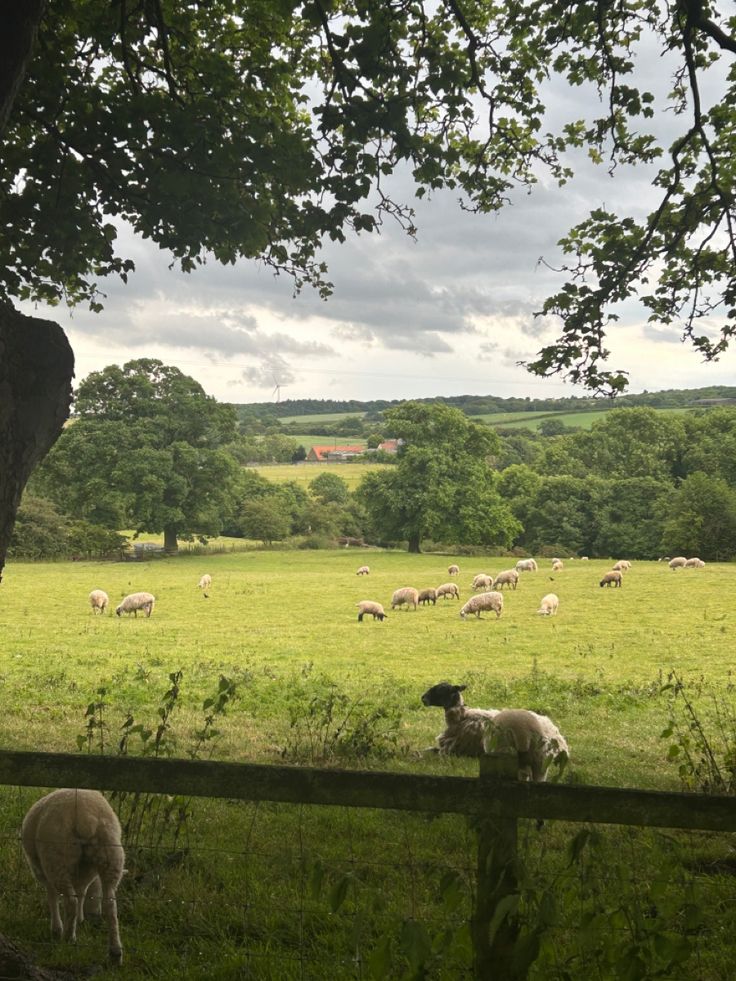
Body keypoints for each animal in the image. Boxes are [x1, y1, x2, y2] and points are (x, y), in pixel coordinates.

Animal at [21, 784, 125, 960]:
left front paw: (57, 928)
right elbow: (81, 892)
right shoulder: (86, 872)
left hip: (56, 857)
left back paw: (68, 938)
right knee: (110, 905)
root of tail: (86, 817)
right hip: (110, 855)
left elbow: (52, 896)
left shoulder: (41, 870)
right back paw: (115, 953)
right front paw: (80, 920)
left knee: (70, 901)